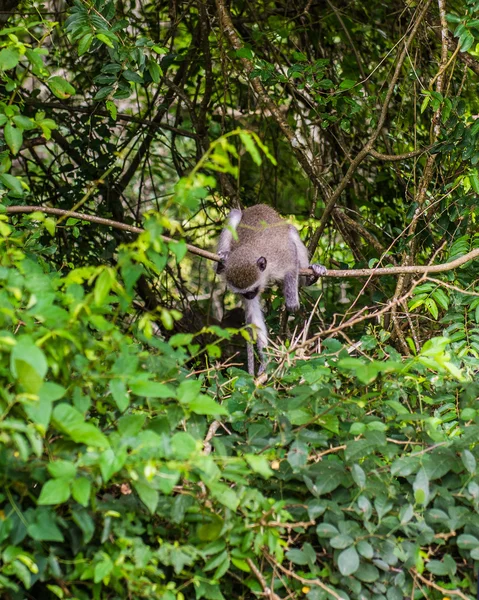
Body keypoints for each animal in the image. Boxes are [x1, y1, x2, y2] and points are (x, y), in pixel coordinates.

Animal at [217, 206, 326, 376]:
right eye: (244, 293)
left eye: (252, 289)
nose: (249, 296)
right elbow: (254, 317)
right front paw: (265, 360)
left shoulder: (281, 256)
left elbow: (291, 264)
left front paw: (292, 301)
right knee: (235, 214)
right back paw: (222, 258)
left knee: (292, 233)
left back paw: (311, 276)